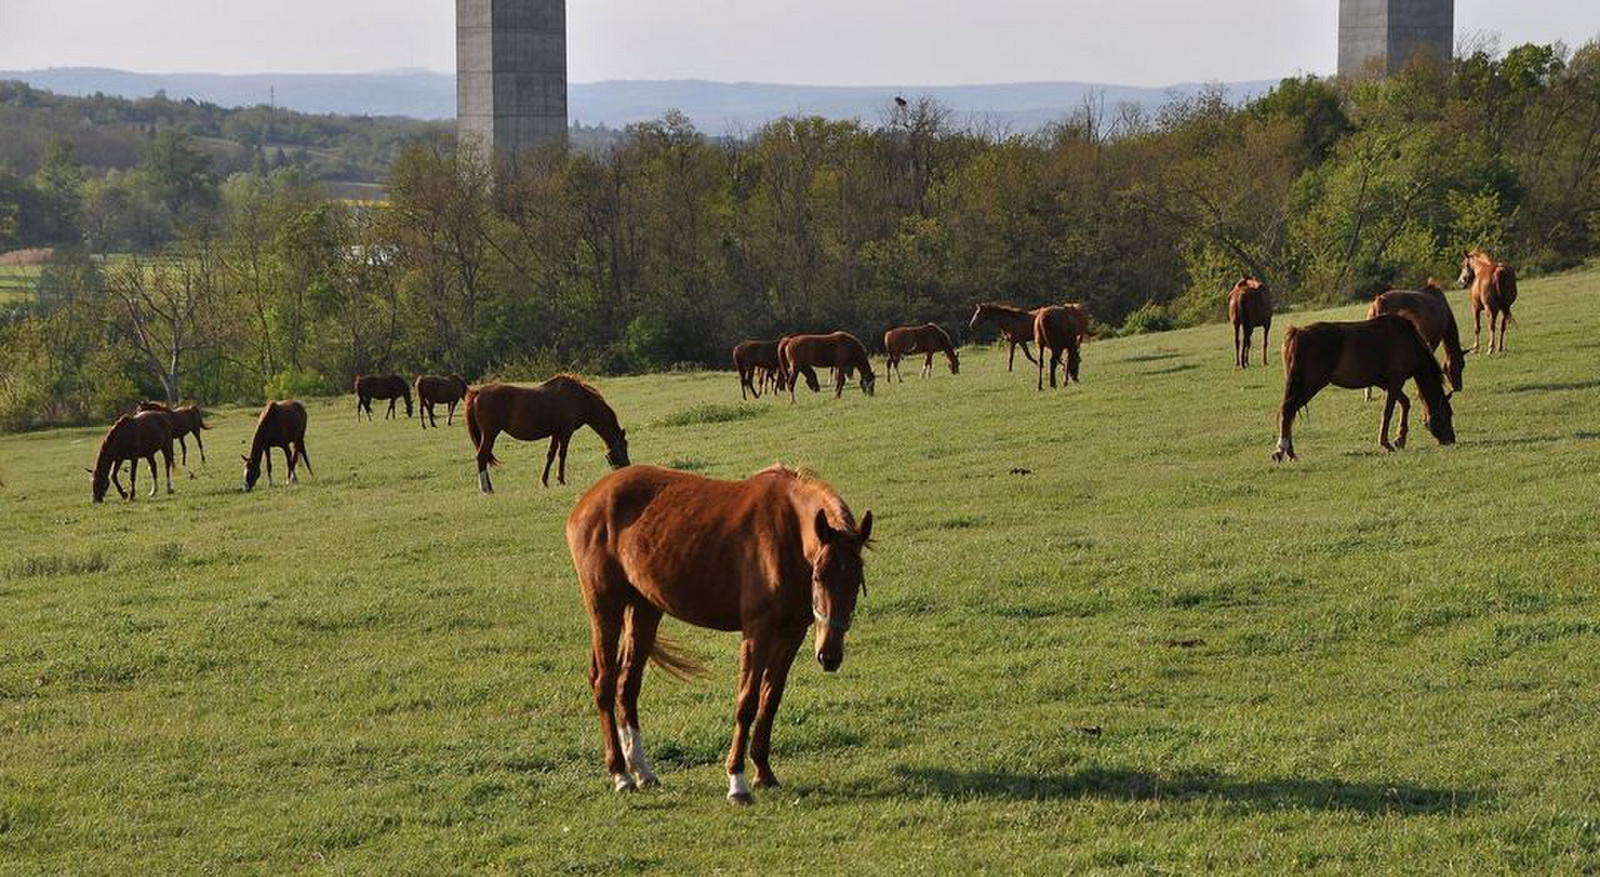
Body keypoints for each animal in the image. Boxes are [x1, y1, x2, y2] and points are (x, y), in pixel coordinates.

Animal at [464, 372, 630, 492]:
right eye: (624, 447)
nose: (627, 467)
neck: (581, 399)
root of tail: (478, 392)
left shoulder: (555, 433)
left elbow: (550, 455)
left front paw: (544, 482)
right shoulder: (566, 431)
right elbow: (562, 454)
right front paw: (561, 480)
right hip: (490, 434)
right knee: (481, 456)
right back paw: (486, 489)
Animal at [569, 467, 876, 800]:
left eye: (857, 578)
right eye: (818, 577)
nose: (829, 656)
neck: (787, 534)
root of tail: (588, 498)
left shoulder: (791, 633)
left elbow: (770, 699)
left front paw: (764, 772)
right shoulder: (757, 630)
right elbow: (747, 702)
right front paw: (737, 781)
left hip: (644, 609)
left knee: (627, 686)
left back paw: (642, 770)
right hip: (605, 607)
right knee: (605, 684)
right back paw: (620, 773)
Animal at [1267, 316, 1459, 467]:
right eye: (1447, 414)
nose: (1451, 440)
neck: (1408, 339)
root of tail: (1297, 333)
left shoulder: (1385, 383)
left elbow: (1405, 403)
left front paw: (1400, 438)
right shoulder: (1395, 382)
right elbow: (1388, 412)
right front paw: (1386, 443)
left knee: (1289, 412)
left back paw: (1290, 452)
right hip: (1310, 385)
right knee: (1288, 410)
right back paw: (1282, 450)